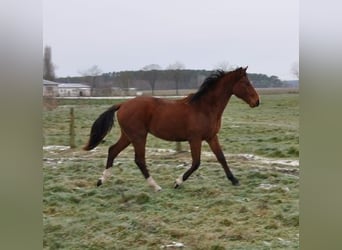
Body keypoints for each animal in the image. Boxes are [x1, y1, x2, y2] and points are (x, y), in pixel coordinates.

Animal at [83, 67, 260, 191]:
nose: (257, 101)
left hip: (128, 136)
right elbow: (196, 162)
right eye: (246, 83)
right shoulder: (195, 139)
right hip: (139, 136)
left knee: (112, 150)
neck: (204, 108)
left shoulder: (211, 137)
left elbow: (221, 158)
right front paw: (177, 182)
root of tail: (123, 104)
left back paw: (101, 181)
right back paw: (155, 186)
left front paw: (234, 180)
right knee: (139, 159)